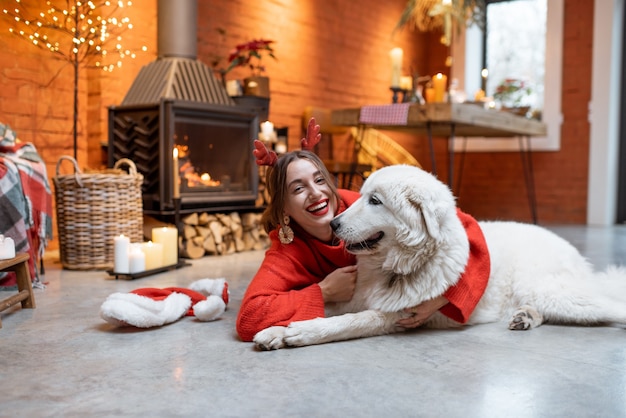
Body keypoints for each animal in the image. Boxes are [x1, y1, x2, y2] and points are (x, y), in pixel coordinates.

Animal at [252, 164, 624, 350]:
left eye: (376, 201)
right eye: (361, 196)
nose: (334, 223)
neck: (397, 267)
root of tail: (569, 247)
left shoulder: (394, 315)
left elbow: (347, 322)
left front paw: (299, 334)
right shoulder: (353, 297)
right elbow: (322, 308)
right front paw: (277, 330)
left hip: (556, 294)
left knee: (609, 305)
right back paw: (524, 317)